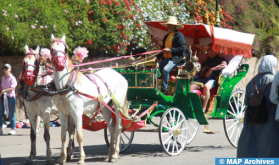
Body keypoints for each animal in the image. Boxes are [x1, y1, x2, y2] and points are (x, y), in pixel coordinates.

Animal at [50, 34, 129, 164]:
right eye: (52, 49)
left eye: (65, 49)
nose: (60, 63)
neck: (67, 85)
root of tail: (120, 75)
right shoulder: (63, 114)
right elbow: (63, 136)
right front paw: (62, 158)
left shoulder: (76, 113)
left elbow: (79, 136)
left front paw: (81, 158)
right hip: (105, 108)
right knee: (111, 129)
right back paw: (109, 155)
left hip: (118, 106)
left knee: (118, 128)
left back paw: (115, 155)